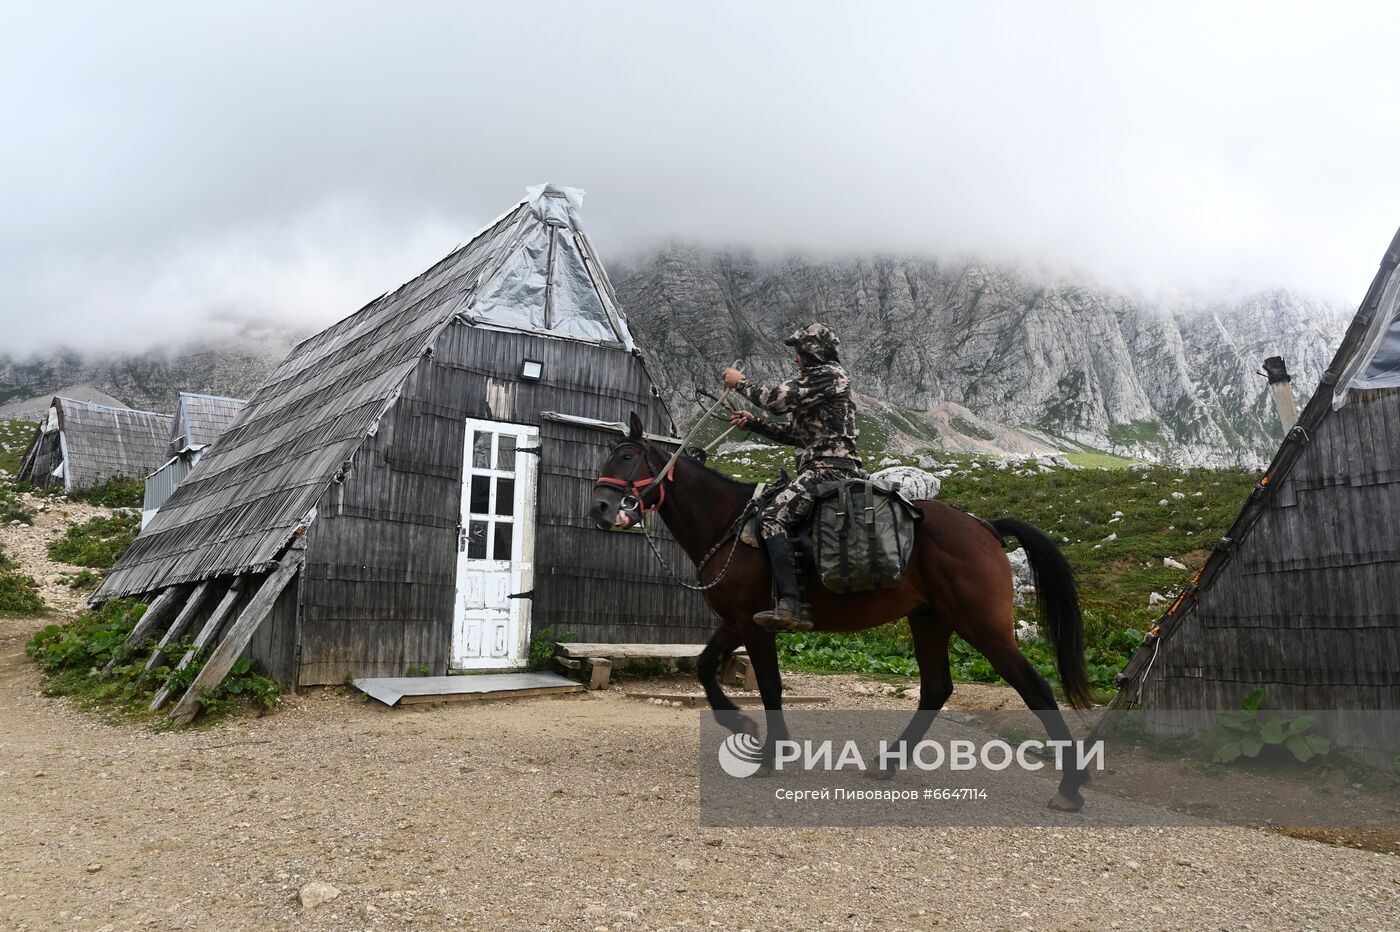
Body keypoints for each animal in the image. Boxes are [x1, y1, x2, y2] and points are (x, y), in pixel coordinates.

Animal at [590, 411, 1092, 811]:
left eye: (628, 457)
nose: (600, 507)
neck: (731, 524)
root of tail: (984, 527)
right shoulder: (735, 623)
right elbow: (704, 668)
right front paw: (742, 724)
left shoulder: (756, 626)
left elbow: (770, 686)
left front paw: (771, 752)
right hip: (930, 621)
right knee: (936, 688)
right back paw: (888, 763)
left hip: (982, 626)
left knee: (1036, 689)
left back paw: (1070, 786)